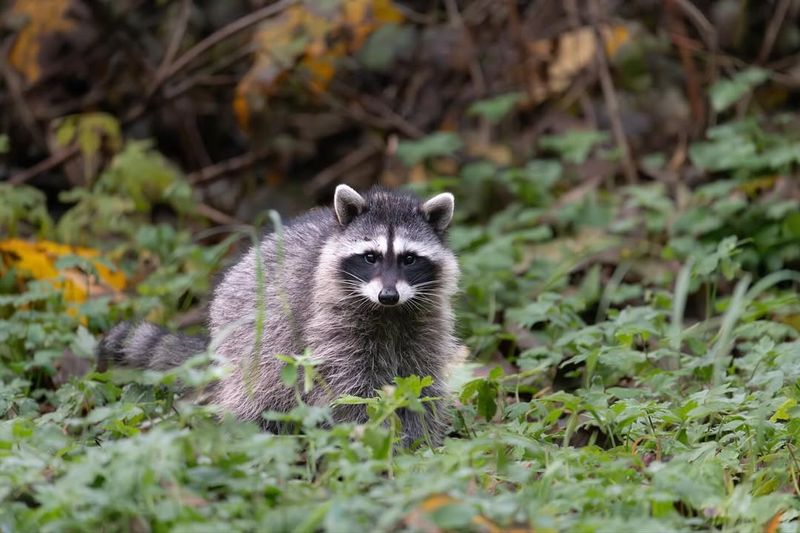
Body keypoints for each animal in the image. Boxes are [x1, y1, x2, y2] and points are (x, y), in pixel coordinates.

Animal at [98, 184, 462, 446]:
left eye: (409, 259)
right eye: (370, 257)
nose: (388, 295)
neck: (389, 314)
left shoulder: (426, 320)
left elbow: (420, 378)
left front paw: (419, 437)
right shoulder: (330, 322)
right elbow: (350, 384)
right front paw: (371, 432)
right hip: (249, 335)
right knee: (256, 391)